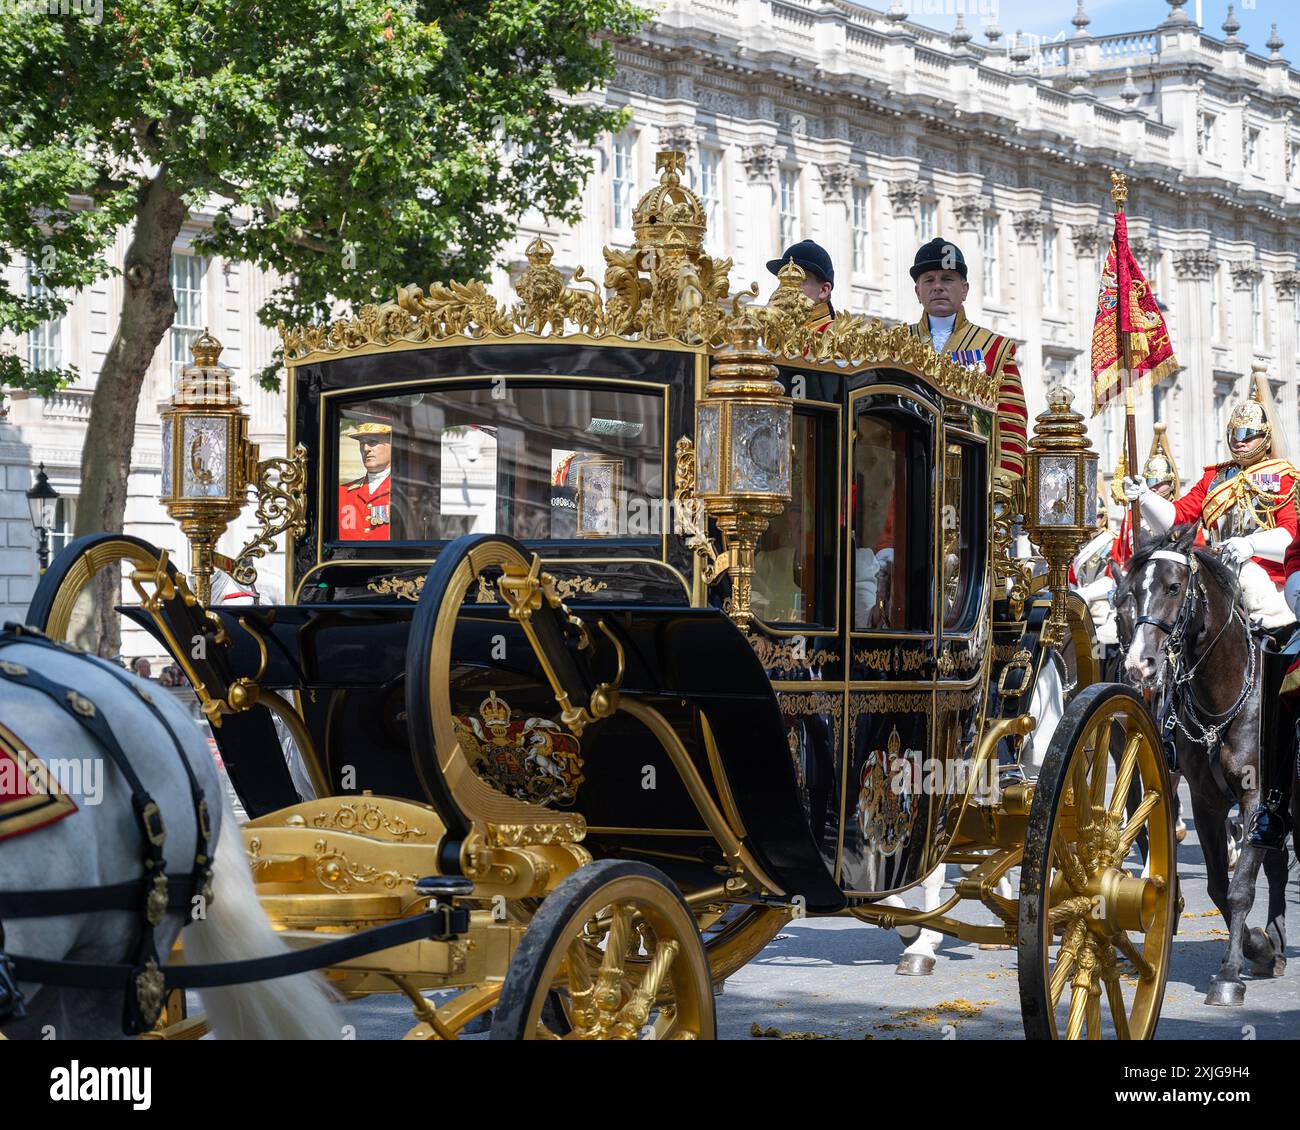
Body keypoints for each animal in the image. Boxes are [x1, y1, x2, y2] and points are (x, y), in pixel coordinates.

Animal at [1112, 522, 1294, 1003]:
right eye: (1128, 595)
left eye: (1174, 587)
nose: (1140, 667)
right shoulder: (1206, 800)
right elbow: (1217, 885)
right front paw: (1256, 948)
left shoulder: (1256, 798)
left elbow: (1241, 888)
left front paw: (1229, 974)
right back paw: (1276, 941)